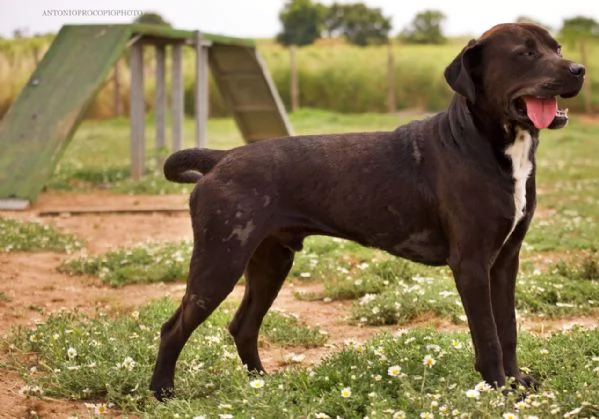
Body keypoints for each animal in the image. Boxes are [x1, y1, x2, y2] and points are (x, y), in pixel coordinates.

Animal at [149, 22, 584, 400]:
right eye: (525, 53)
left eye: (557, 47)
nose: (579, 69)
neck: (486, 143)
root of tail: (221, 158)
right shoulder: (472, 263)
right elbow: (488, 335)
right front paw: (497, 389)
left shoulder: (506, 259)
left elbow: (507, 327)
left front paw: (516, 383)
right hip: (219, 262)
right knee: (172, 328)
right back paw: (163, 393)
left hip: (270, 261)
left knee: (243, 325)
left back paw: (262, 384)